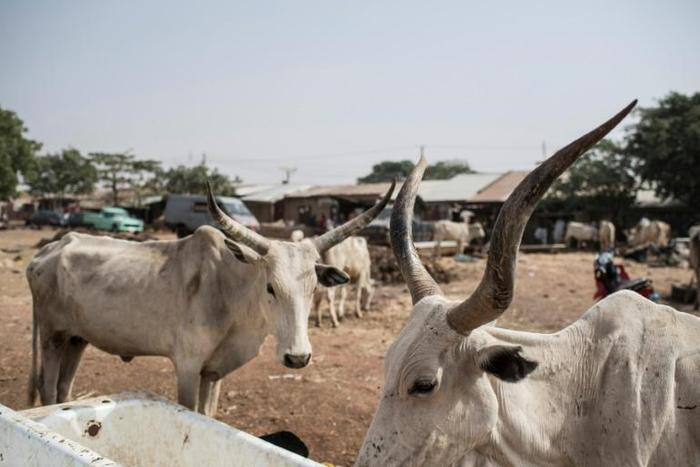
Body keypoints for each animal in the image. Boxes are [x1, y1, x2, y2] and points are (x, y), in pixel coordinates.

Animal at [26, 181, 394, 417]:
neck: (230, 296)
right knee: (48, 390)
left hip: (77, 339)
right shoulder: (188, 367)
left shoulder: (213, 373)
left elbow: (208, 413)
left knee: (63, 390)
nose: (297, 357)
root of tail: (49, 250)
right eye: (270, 287)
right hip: (51, 336)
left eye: (314, 288)